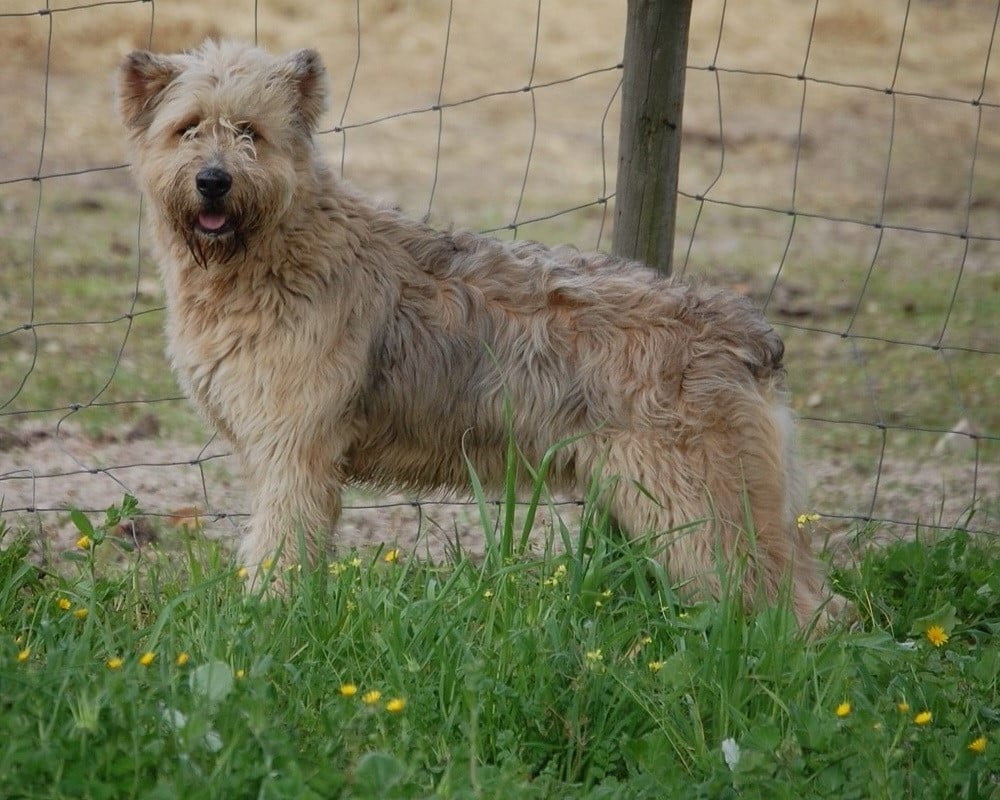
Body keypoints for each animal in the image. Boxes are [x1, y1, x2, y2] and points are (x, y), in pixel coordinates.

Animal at [115, 40, 836, 628]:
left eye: (251, 133)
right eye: (187, 129)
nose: (213, 180)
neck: (274, 249)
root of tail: (750, 337)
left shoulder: (296, 452)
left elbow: (279, 547)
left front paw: (266, 619)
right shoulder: (273, 453)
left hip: (703, 505)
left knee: (800, 606)